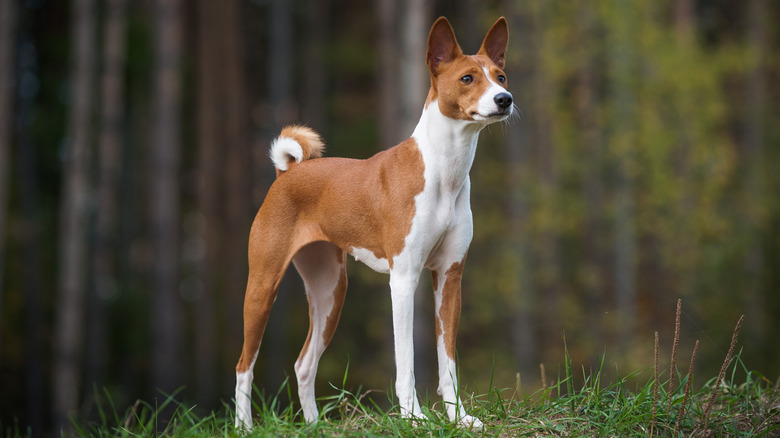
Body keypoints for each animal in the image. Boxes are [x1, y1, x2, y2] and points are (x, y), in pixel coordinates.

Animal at [233, 16, 512, 428]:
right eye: (467, 78)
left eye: (501, 76)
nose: (504, 99)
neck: (444, 172)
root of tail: (289, 171)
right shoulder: (404, 279)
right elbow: (406, 362)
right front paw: (414, 417)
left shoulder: (450, 278)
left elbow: (448, 362)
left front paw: (459, 417)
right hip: (262, 287)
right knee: (243, 365)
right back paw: (244, 426)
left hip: (330, 293)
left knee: (303, 364)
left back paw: (315, 425)